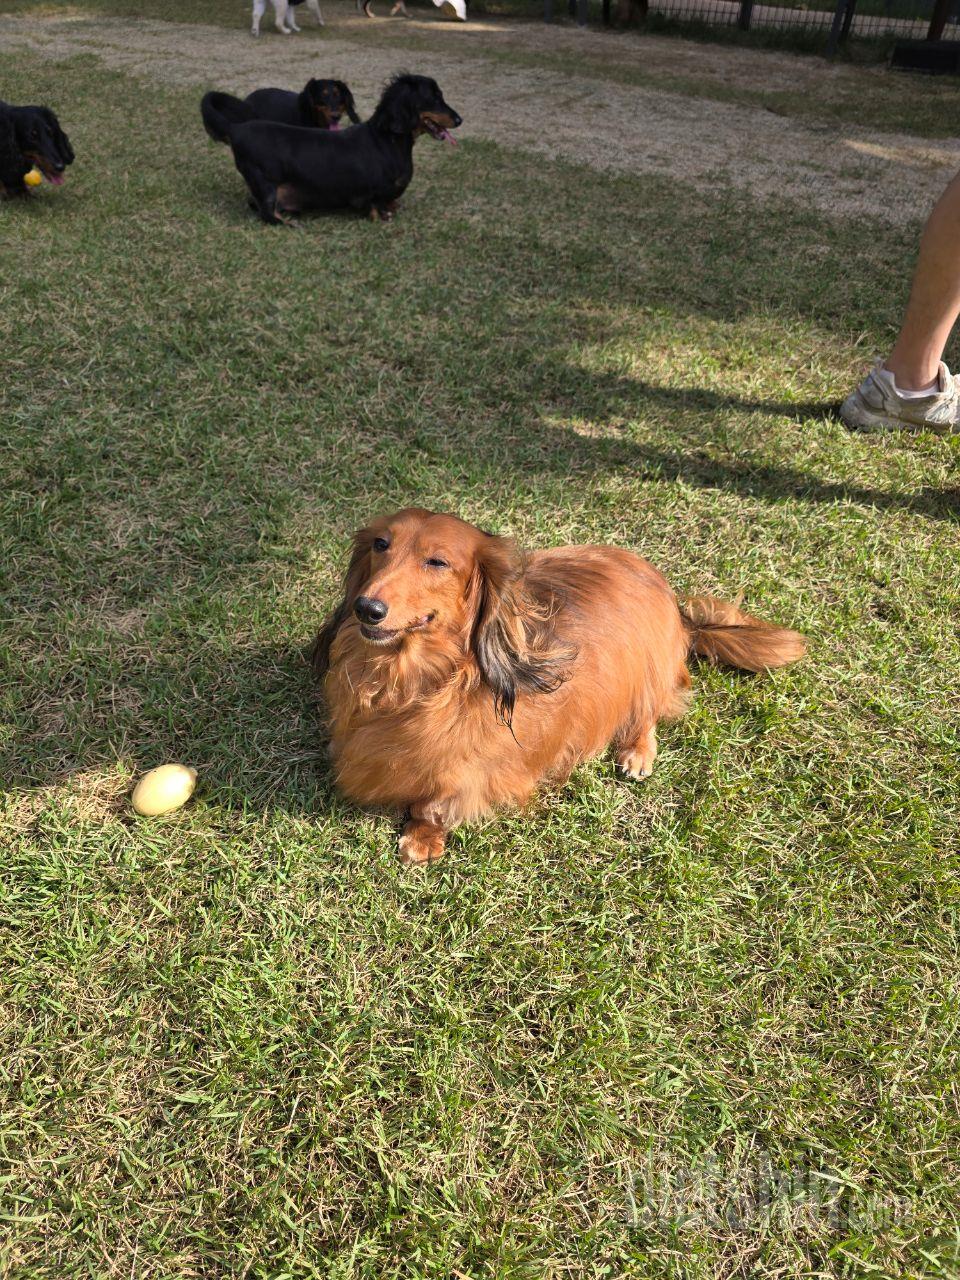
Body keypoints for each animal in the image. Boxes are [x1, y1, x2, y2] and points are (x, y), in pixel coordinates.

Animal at [312, 506, 808, 860]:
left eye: (437, 561)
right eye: (381, 544)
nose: (366, 608)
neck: (417, 681)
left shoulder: (480, 769)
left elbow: (439, 798)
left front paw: (422, 837)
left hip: (645, 666)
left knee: (650, 710)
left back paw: (637, 752)